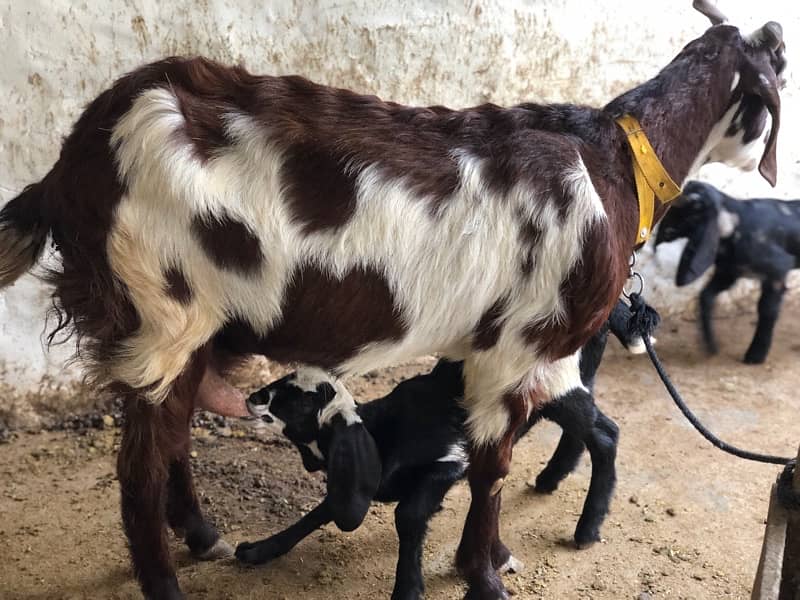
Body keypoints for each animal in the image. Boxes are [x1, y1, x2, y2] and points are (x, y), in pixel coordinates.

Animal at [0, 2, 784, 596]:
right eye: (781, 70)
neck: (612, 165)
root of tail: (71, 167)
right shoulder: (518, 350)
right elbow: (491, 471)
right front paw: (483, 573)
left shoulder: (523, 360)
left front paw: (490, 559)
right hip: (164, 312)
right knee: (137, 469)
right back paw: (165, 582)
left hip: (188, 327)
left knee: (168, 441)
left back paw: (201, 535)